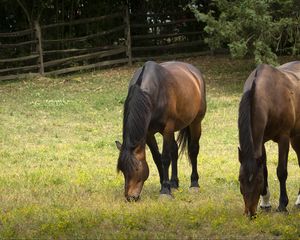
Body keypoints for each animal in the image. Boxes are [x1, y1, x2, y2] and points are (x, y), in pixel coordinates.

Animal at [115, 60, 206, 201]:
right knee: (174, 150)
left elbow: (165, 158)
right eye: (123, 171)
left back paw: (194, 184)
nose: (130, 197)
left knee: (193, 150)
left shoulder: (168, 128)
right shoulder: (148, 133)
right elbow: (157, 158)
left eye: (136, 169)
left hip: (195, 123)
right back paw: (174, 183)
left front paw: (165, 191)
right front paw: (165, 184)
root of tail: (194, 72)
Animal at [238, 61, 300, 218]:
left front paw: (282, 205)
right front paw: (265, 203)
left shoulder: (284, 138)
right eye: (240, 179)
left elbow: (281, 171)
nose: (250, 213)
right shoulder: (261, 141)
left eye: (257, 180)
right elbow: (264, 169)